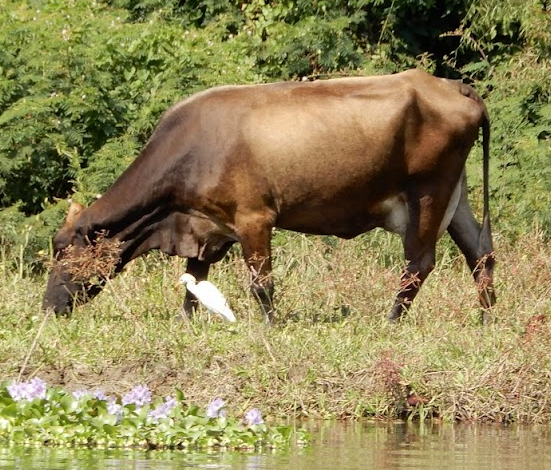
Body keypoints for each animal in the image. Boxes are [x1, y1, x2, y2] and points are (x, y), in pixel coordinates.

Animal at [43, 70, 498, 324]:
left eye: (62, 250)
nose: (48, 307)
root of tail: (452, 84)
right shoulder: (205, 225)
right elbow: (195, 282)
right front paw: (186, 323)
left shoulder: (254, 218)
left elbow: (262, 284)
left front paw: (269, 327)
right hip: (455, 195)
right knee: (480, 251)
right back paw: (486, 318)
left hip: (427, 192)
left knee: (419, 263)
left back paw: (391, 321)